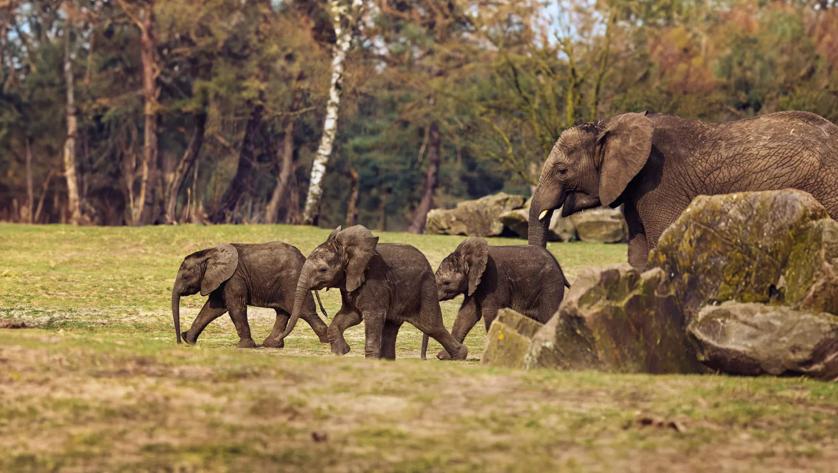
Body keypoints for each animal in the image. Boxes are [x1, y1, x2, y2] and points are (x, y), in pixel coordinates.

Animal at [170, 243, 328, 346]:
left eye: (185, 277)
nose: (178, 342)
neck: (210, 253)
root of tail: (305, 259)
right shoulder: (222, 280)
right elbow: (212, 309)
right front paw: (188, 340)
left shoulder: (234, 277)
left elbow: (235, 307)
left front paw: (244, 346)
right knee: (283, 312)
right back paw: (272, 344)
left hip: (292, 282)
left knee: (305, 312)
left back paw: (326, 341)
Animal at [278, 223, 470, 360]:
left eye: (323, 270)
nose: (279, 338)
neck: (349, 251)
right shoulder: (349, 283)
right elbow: (351, 315)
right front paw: (342, 352)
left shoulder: (374, 282)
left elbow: (372, 316)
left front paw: (367, 359)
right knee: (393, 326)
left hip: (426, 288)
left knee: (431, 325)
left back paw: (460, 356)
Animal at [426, 238, 572, 360]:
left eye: (446, 283)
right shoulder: (475, 283)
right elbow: (467, 314)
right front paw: (445, 357)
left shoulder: (494, 279)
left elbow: (491, 313)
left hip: (550, 286)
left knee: (549, 315)